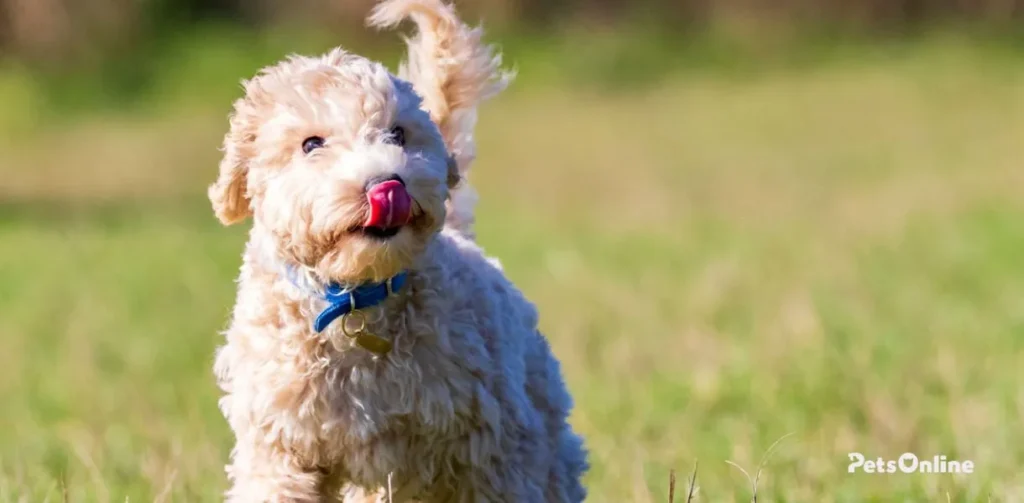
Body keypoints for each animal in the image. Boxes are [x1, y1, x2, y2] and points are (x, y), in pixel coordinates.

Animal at [205, 1, 593, 501]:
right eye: (311, 144)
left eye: (398, 134)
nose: (388, 184)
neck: (356, 299)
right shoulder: (278, 444)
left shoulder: (494, 444)